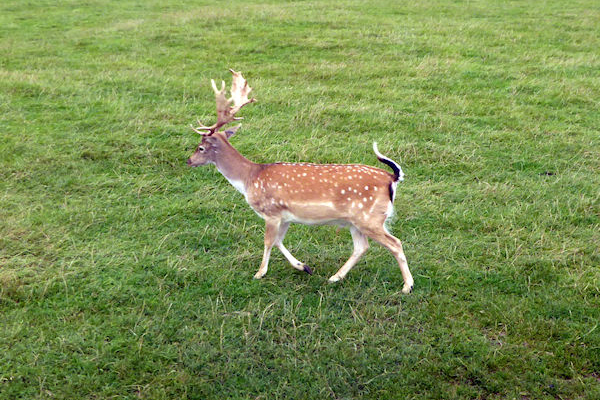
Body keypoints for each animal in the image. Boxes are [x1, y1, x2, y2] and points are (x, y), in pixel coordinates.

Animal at [186, 69, 412, 294]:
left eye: (201, 147)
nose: (189, 160)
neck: (250, 178)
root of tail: (392, 178)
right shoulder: (285, 216)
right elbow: (278, 241)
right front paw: (304, 266)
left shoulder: (271, 211)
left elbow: (268, 241)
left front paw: (259, 273)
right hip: (354, 221)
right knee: (361, 247)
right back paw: (335, 277)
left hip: (370, 217)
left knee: (395, 243)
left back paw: (407, 286)